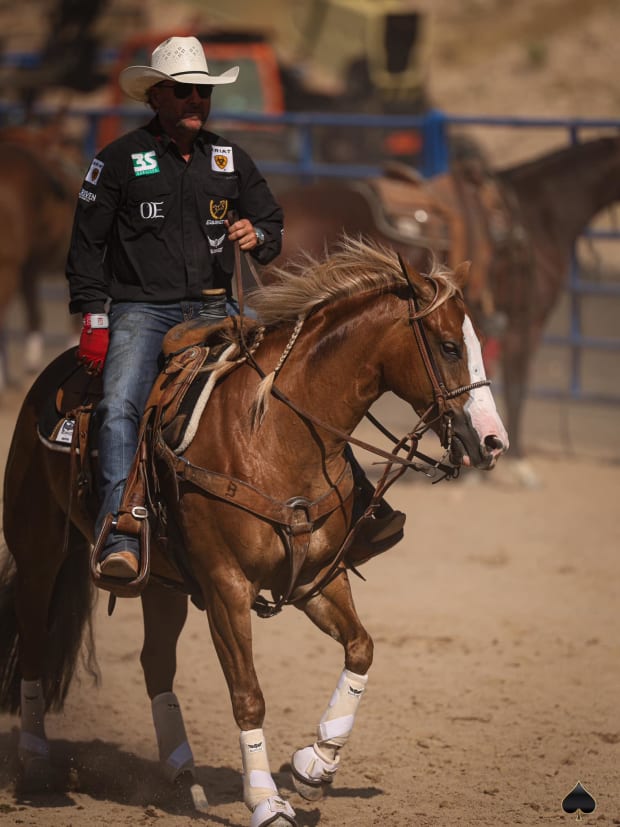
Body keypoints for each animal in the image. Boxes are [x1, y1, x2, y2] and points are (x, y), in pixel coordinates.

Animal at [0, 239, 508, 827]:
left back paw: (183, 777)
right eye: (448, 347)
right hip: (38, 548)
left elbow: (361, 649)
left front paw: (315, 767)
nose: (494, 441)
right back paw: (37, 764)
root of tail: (58, 371)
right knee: (34, 643)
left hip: (162, 583)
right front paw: (266, 799)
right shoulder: (226, 587)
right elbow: (248, 694)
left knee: (156, 663)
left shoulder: (317, 580)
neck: (273, 434)